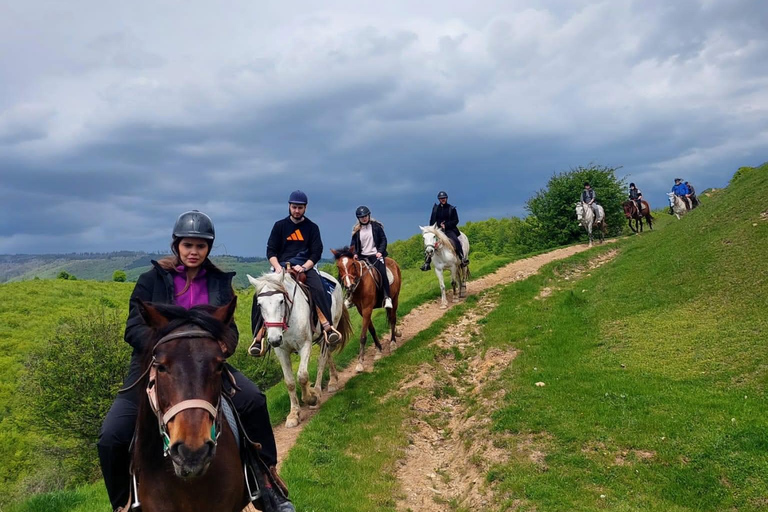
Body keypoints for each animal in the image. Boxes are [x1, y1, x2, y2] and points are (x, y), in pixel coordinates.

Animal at [248, 272, 352, 428]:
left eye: (281, 301)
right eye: (259, 304)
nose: (274, 339)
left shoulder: (305, 345)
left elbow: (302, 376)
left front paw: (311, 398)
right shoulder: (281, 351)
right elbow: (289, 382)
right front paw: (293, 414)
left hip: (326, 333)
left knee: (322, 360)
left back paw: (319, 390)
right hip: (321, 338)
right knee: (327, 356)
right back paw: (333, 380)